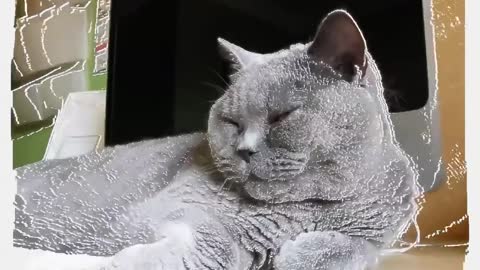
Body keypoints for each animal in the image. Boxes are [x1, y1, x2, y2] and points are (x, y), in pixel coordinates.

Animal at [14, 9, 420, 270]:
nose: (244, 150)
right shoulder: (159, 210)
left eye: (282, 116)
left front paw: (296, 254)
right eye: (231, 122)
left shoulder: (381, 234)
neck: (311, 206)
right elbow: (220, 245)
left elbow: (356, 249)